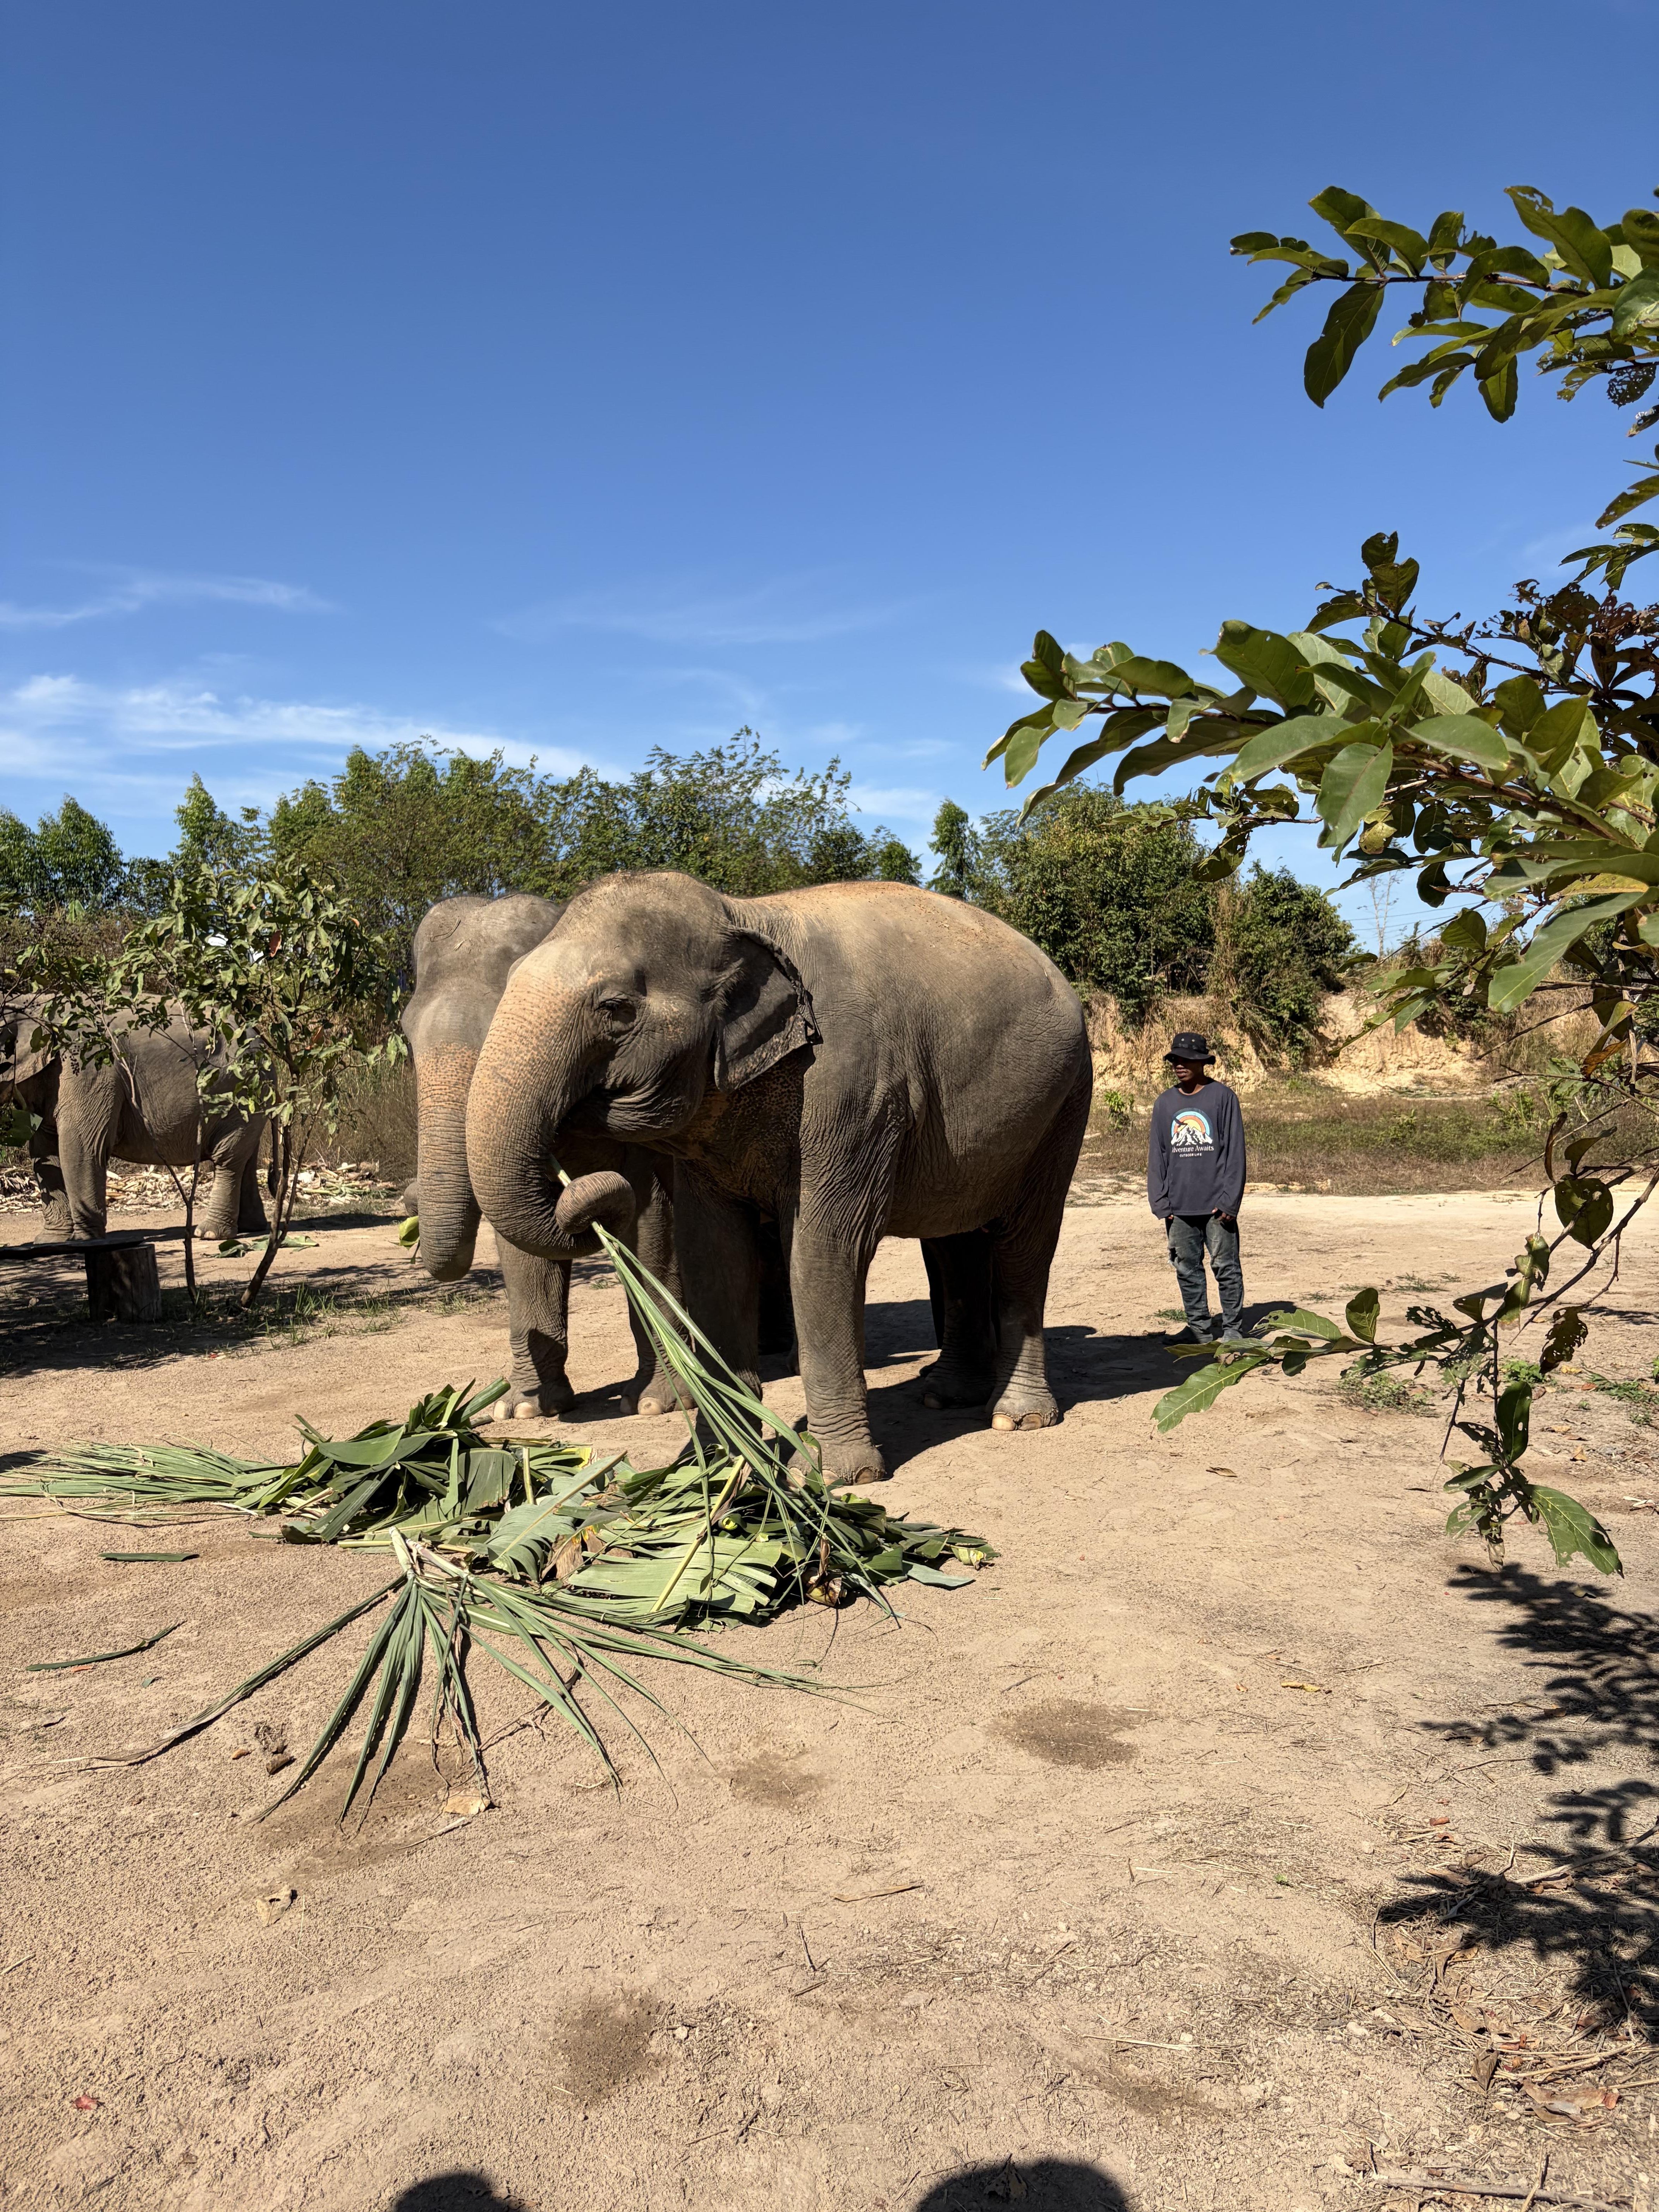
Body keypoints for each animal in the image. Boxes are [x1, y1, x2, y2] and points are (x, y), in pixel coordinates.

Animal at [0, 997, 269, 1244]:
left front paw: (85, 1242)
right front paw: (51, 1241)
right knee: (245, 1159)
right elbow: (44, 1148)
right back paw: (252, 1228)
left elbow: (81, 1146)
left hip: (239, 1092)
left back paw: (209, 1234)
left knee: (228, 1159)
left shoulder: (88, 1067)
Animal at [400, 893, 692, 1423]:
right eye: (407, 1036)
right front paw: (522, 1409)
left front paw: (654, 1404)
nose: (409, 1199)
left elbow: (651, 1220)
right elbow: (520, 1242)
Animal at [464, 871, 1092, 1483]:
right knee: (954, 1239)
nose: (584, 1193)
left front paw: (828, 1478)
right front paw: (716, 1466)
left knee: (1026, 1243)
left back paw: (1017, 1418)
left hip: (1064, 1106)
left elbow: (826, 1246)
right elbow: (715, 1252)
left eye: (616, 1007)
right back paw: (945, 1397)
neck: (743, 913)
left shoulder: (850, 1084)